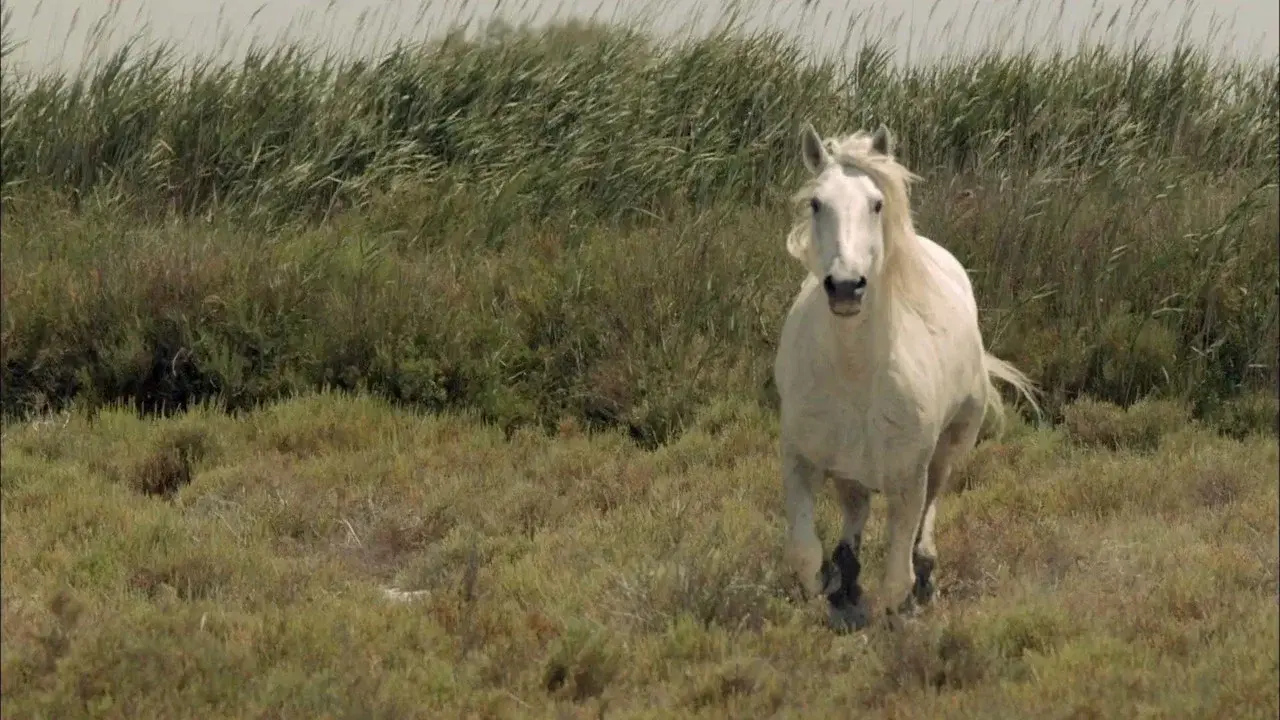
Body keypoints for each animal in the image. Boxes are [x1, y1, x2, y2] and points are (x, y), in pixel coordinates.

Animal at [774, 122, 1041, 632]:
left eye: (877, 204)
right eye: (816, 203)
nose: (845, 287)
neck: (856, 375)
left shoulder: (908, 478)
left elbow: (896, 575)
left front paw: (898, 615)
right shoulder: (801, 462)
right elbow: (804, 553)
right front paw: (832, 589)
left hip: (948, 448)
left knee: (929, 510)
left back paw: (926, 576)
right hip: (853, 470)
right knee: (855, 509)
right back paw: (848, 580)